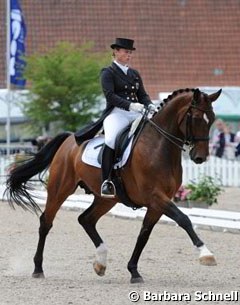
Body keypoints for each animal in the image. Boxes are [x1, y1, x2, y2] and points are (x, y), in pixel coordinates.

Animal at [4, 86, 221, 282]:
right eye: (196, 118)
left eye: (212, 118)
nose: (200, 157)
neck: (159, 147)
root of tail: (69, 139)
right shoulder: (155, 196)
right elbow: (184, 219)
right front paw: (206, 254)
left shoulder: (158, 203)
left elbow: (144, 234)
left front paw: (134, 271)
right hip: (60, 189)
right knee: (46, 222)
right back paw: (38, 269)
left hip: (107, 198)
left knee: (86, 219)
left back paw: (100, 263)